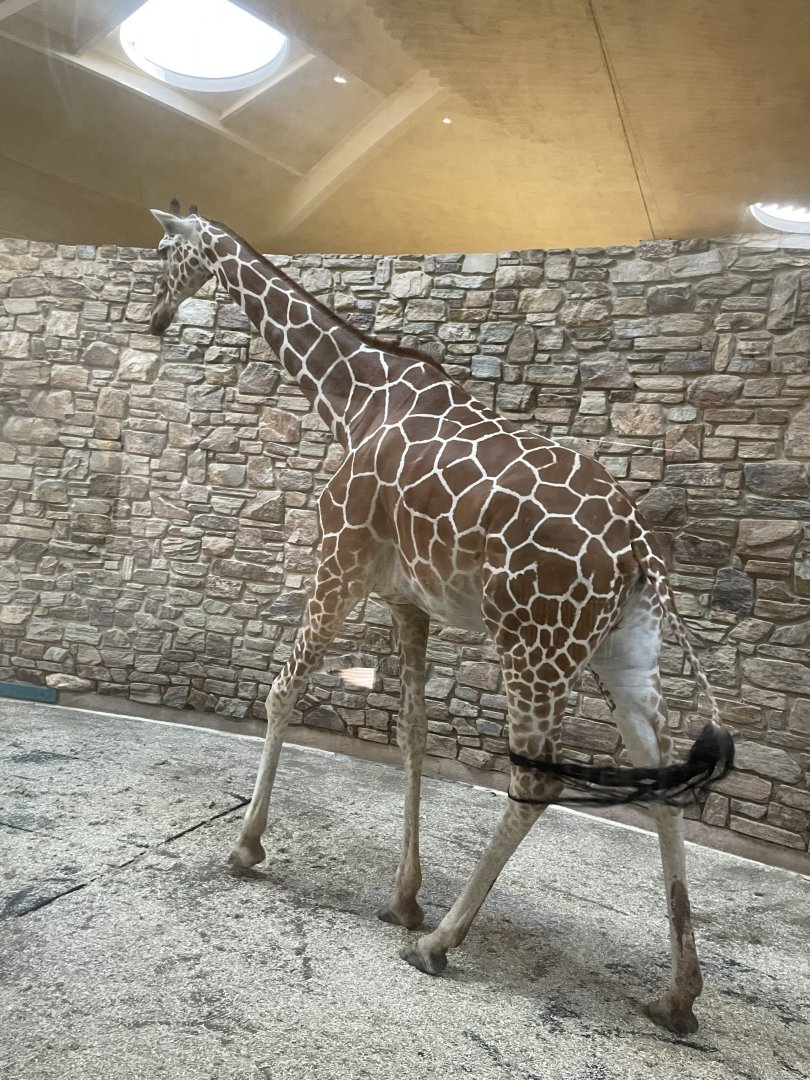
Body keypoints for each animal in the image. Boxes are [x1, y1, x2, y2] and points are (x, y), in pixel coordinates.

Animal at [148, 203, 734, 1035]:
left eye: (162, 250)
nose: (154, 316)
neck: (353, 398)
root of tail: (640, 553)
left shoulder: (339, 561)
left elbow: (281, 691)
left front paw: (247, 846)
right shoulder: (406, 600)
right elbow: (415, 737)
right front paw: (402, 896)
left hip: (534, 641)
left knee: (535, 780)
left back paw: (441, 943)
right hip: (624, 651)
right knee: (663, 784)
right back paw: (677, 996)